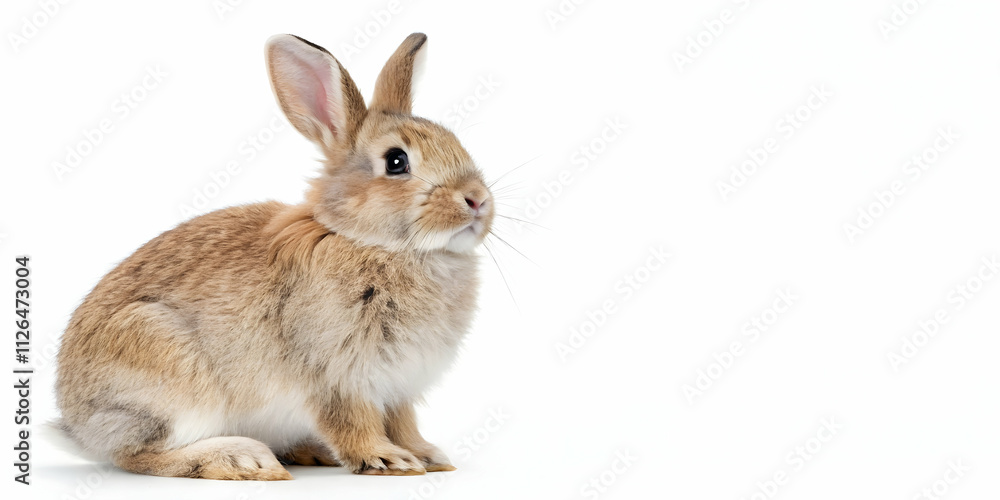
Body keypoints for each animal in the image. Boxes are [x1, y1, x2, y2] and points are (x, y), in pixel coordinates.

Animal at [55, 32, 494, 480]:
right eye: (396, 161)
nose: (477, 199)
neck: (372, 242)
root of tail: (78, 427)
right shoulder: (336, 375)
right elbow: (352, 422)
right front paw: (390, 459)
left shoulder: (398, 387)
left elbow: (404, 423)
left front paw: (427, 456)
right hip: (168, 371)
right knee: (139, 455)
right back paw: (242, 459)